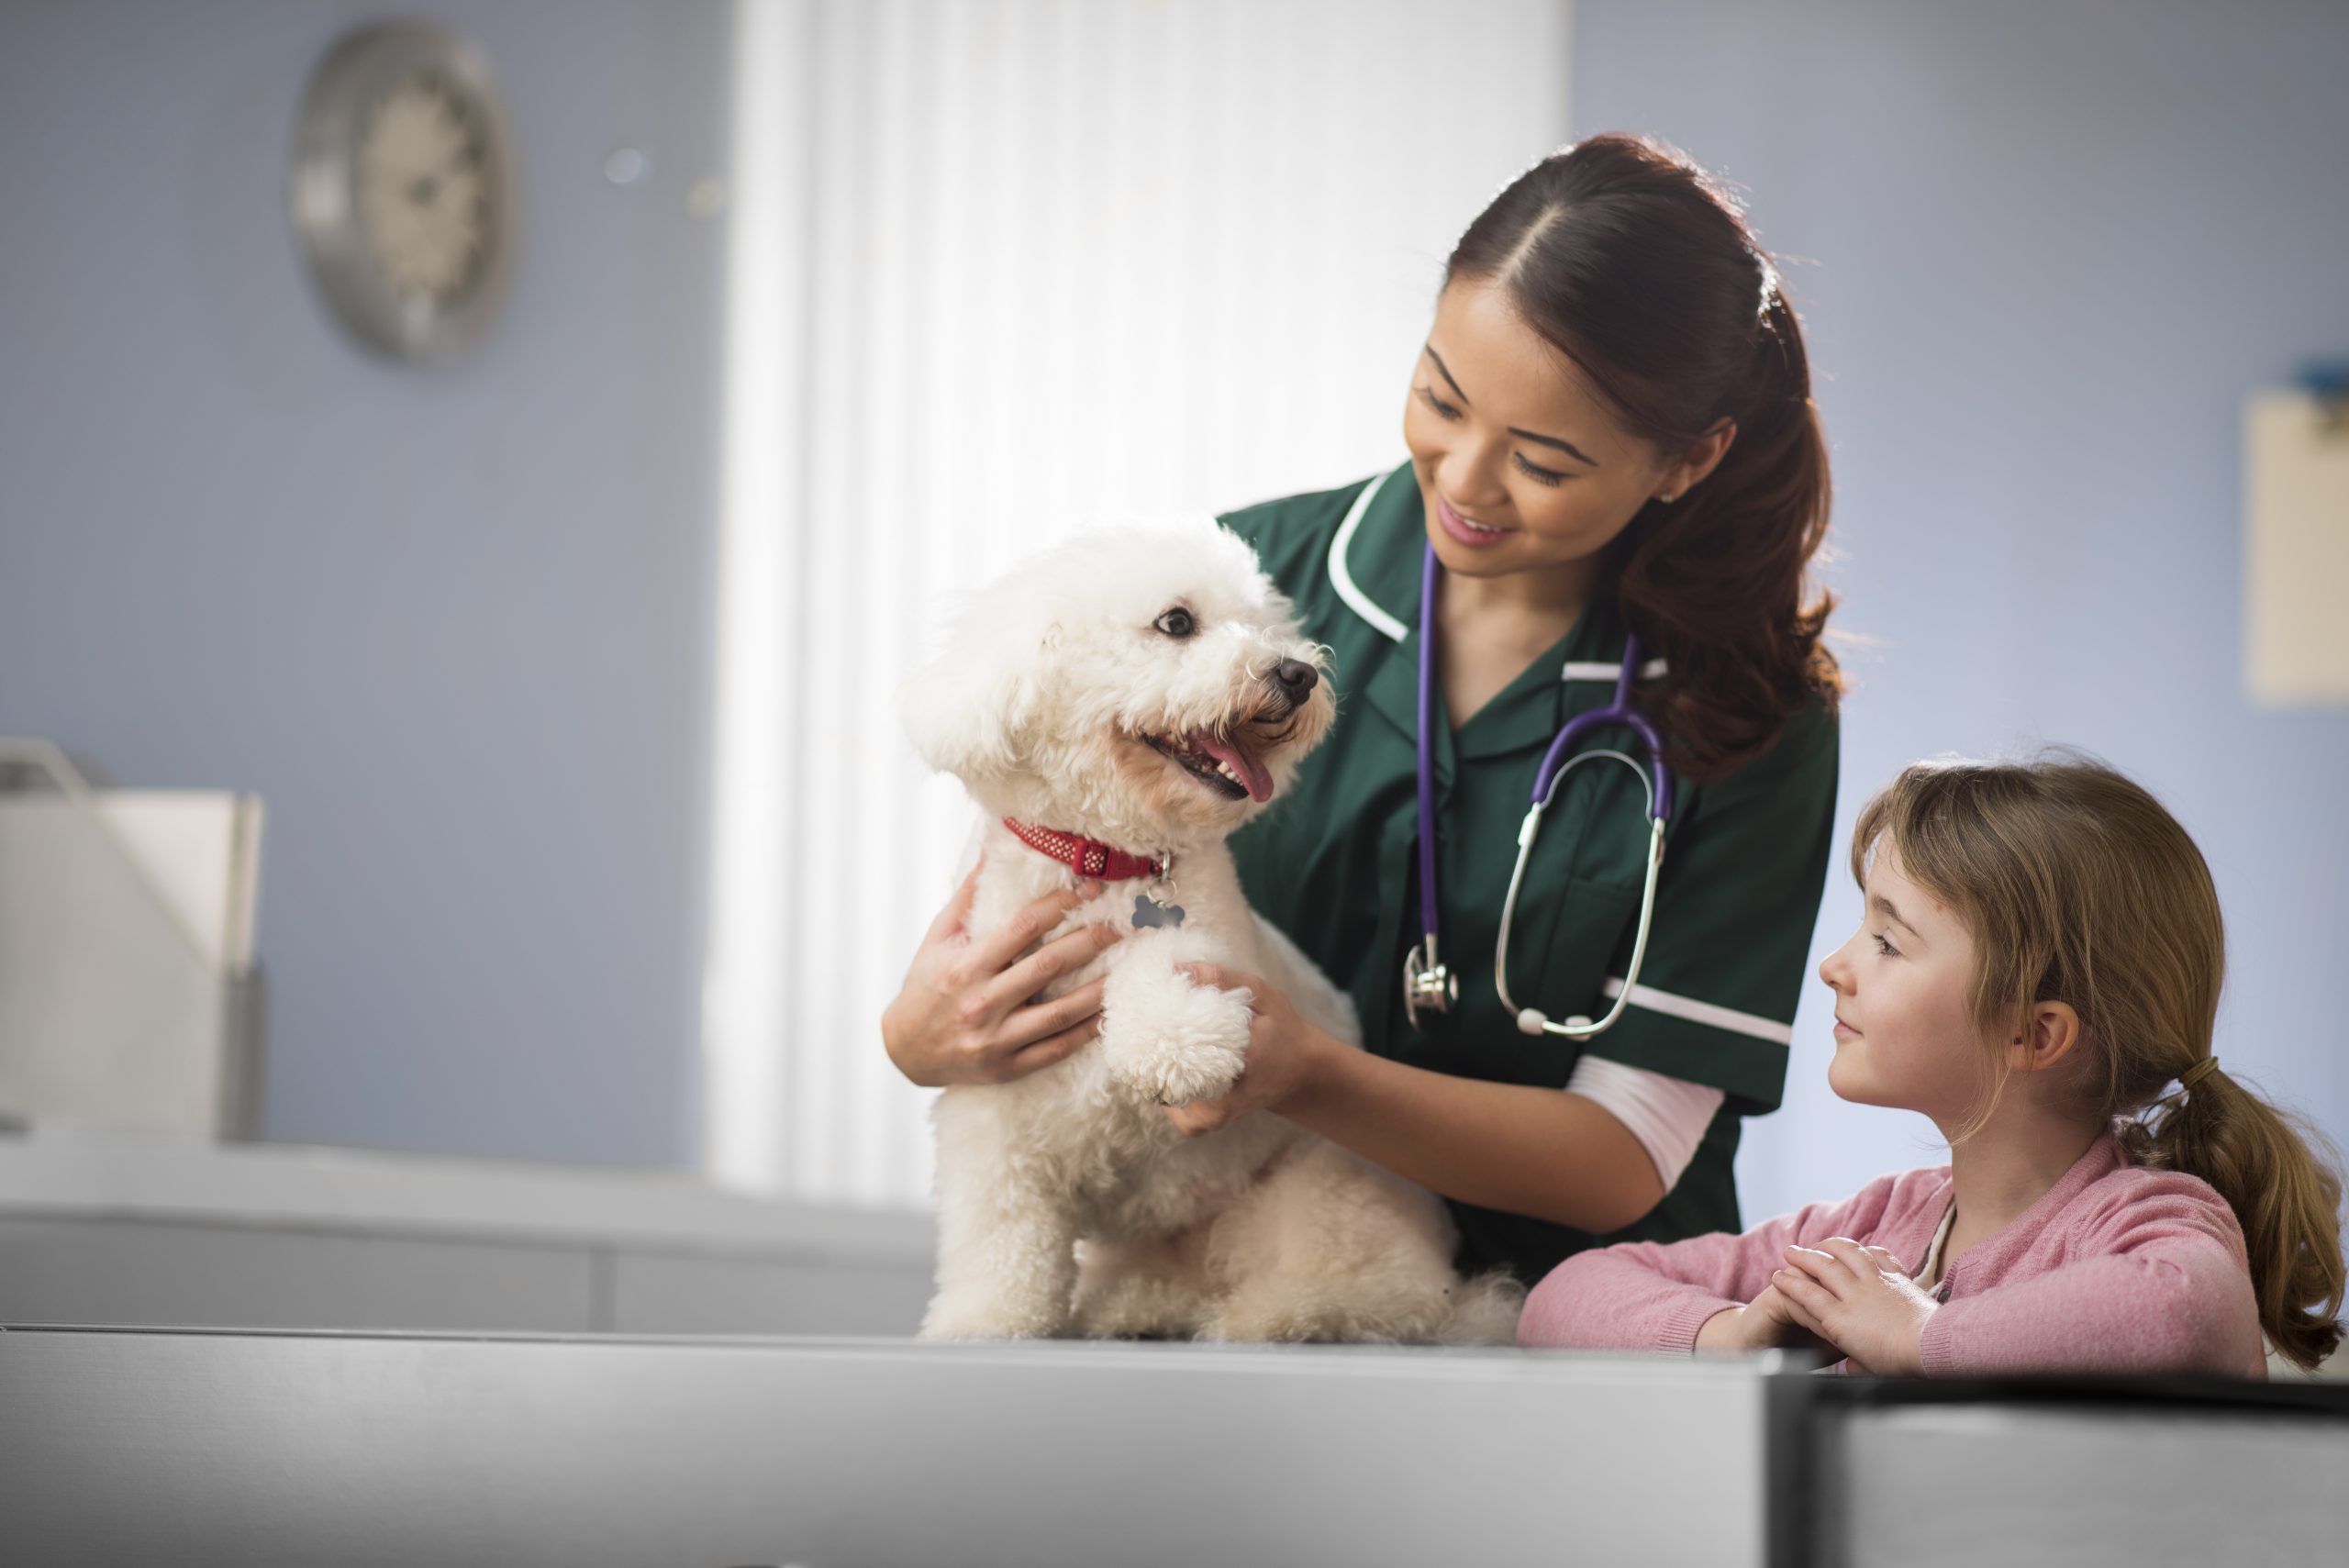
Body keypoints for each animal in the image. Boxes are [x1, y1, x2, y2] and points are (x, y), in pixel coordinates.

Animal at [896, 516, 1521, 1351]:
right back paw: (1136, 1307)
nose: (1297, 674)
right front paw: (983, 1324)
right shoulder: (990, 1112)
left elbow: (1168, 968)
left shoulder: (1207, 942)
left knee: (1372, 1298)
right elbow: (998, 1244)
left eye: (1261, 623)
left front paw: (1175, 1045)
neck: (1109, 857)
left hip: (1323, 1194)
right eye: (1177, 622)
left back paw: (1269, 1316)